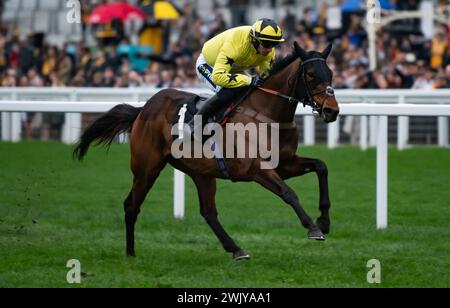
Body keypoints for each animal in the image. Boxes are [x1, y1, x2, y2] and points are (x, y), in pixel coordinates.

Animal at [74, 42, 340, 260]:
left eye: (330, 74)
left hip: (201, 172)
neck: (267, 115)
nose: (332, 110)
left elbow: (321, 166)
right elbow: (289, 193)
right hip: (146, 167)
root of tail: (143, 110)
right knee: (131, 205)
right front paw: (313, 227)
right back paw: (130, 253)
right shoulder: (256, 169)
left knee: (208, 212)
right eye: (311, 74)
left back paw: (236, 249)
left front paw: (324, 220)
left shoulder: (283, 164)